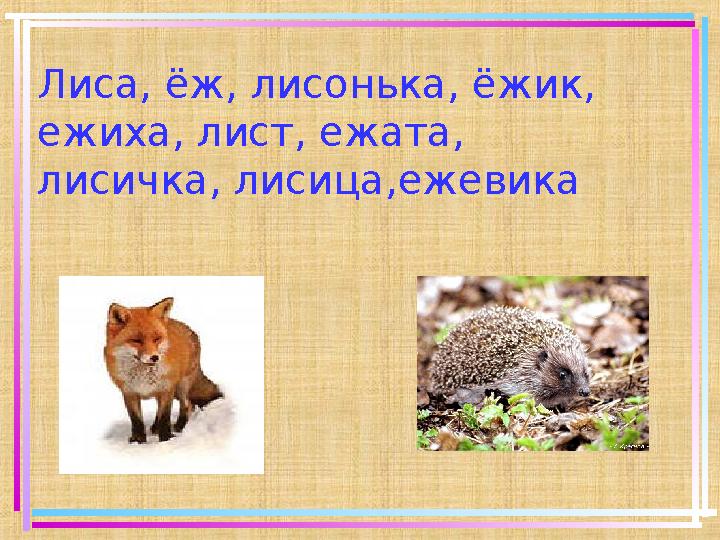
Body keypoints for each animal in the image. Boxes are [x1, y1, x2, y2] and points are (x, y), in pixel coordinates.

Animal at [104, 297, 223, 443]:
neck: (143, 375)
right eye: (136, 340)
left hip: (181, 386)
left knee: (187, 405)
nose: (155, 357)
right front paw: (138, 441)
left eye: (157, 339)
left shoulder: (166, 389)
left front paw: (166, 439)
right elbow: (136, 420)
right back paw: (155, 428)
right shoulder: (129, 392)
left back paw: (178, 427)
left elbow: (165, 417)